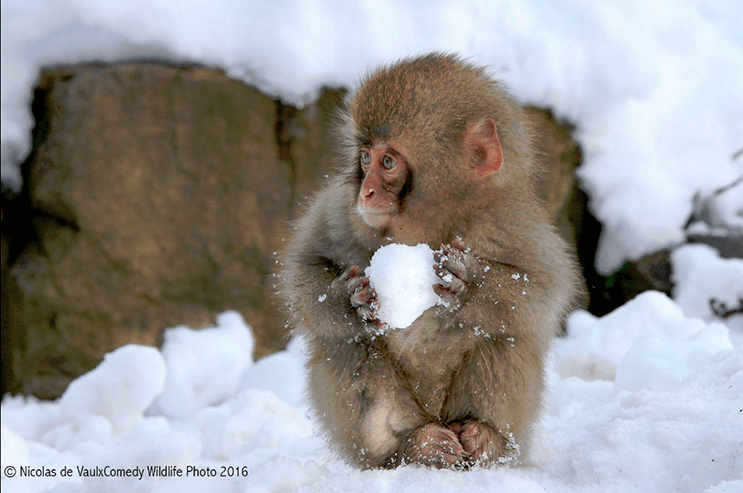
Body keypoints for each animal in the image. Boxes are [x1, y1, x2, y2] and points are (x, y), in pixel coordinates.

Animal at [276, 53, 584, 468]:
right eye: (364, 157)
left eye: (388, 162)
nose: (366, 191)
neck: (428, 225)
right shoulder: (340, 209)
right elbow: (304, 270)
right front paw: (350, 300)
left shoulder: (509, 220)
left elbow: (544, 285)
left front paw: (470, 285)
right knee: (346, 341)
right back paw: (411, 445)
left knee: (503, 329)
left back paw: (485, 436)